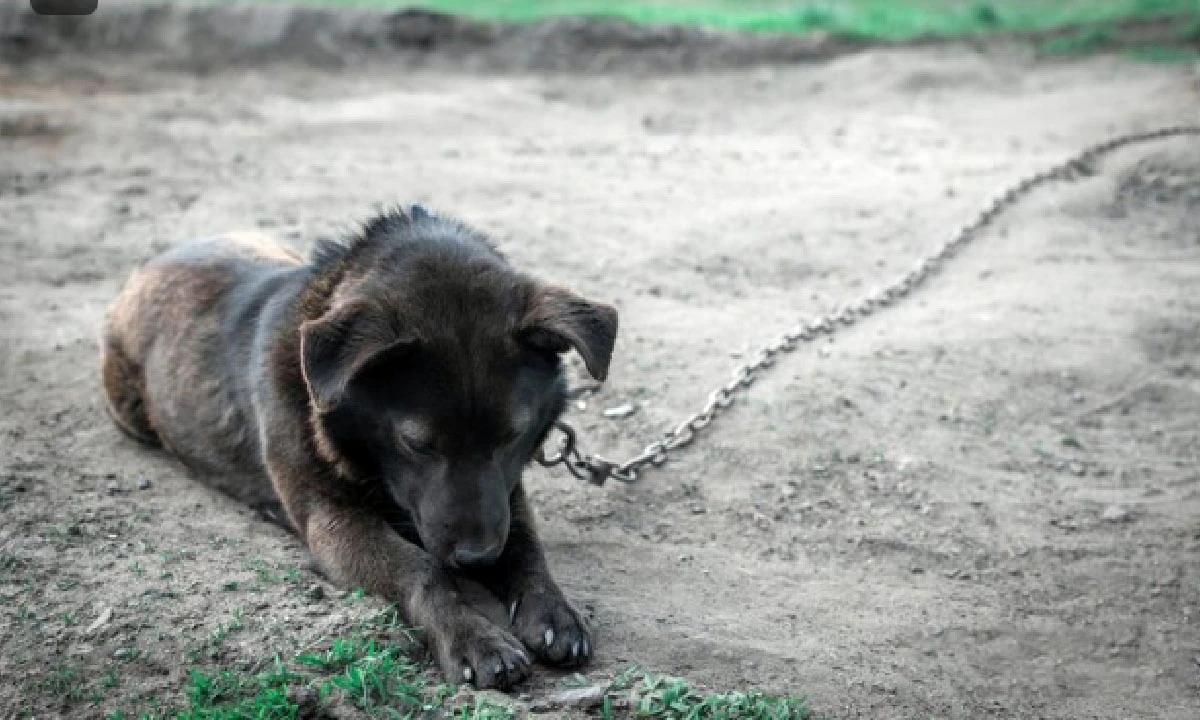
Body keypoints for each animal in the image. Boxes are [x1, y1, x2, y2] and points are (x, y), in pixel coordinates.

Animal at [100, 205, 619, 691]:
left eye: (513, 436)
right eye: (416, 442)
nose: (476, 560)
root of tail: (154, 263)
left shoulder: (505, 497)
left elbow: (526, 548)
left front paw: (552, 612)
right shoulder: (333, 521)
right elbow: (419, 568)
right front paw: (473, 637)